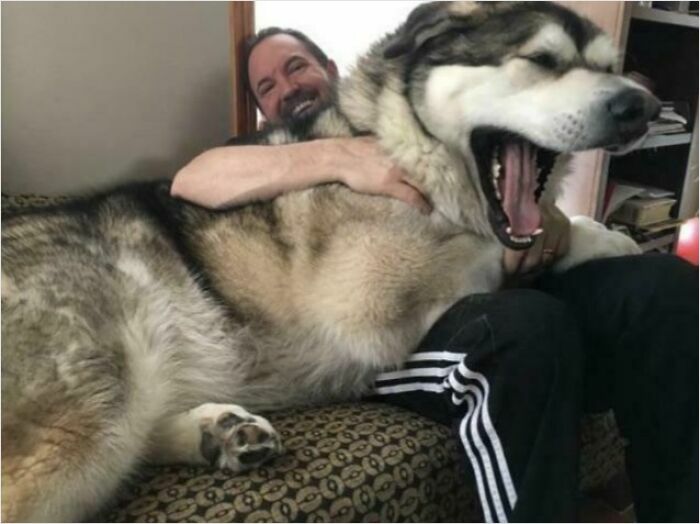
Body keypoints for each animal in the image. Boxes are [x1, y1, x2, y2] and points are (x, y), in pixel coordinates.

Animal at [2, 3, 656, 520]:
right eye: (543, 60)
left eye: (609, 67)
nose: (643, 107)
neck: (400, 144)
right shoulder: (368, 298)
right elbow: (488, 250)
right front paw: (582, 239)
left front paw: (591, 233)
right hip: (88, 422)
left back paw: (219, 433)